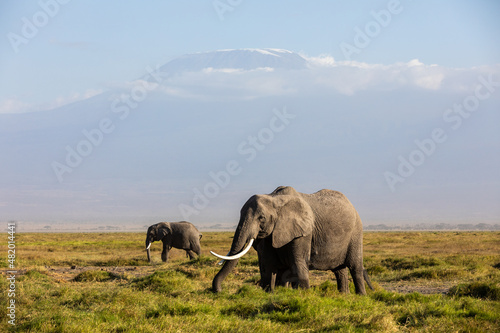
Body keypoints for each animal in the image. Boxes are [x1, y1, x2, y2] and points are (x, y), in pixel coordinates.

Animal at [210, 187, 372, 294]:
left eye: (261, 218)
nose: (219, 291)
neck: (274, 199)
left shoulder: (303, 232)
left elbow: (297, 261)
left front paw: (304, 295)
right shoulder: (271, 234)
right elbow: (269, 264)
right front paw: (271, 292)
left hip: (356, 233)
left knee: (355, 266)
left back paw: (360, 297)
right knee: (339, 270)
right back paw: (343, 296)